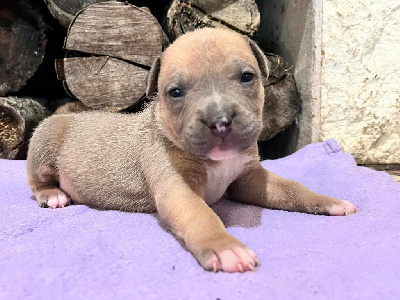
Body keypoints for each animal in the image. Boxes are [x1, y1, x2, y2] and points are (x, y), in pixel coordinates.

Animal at [26, 27, 356, 272]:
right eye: (175, 92)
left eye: (247, 77)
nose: (219, 122)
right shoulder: (177, 186)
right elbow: (201, 215)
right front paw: (225, 247)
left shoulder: (250, 179)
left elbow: (291, 188)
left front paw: (327, 201)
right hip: (43, 143)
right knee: (34, 179)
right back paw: (52, 194)